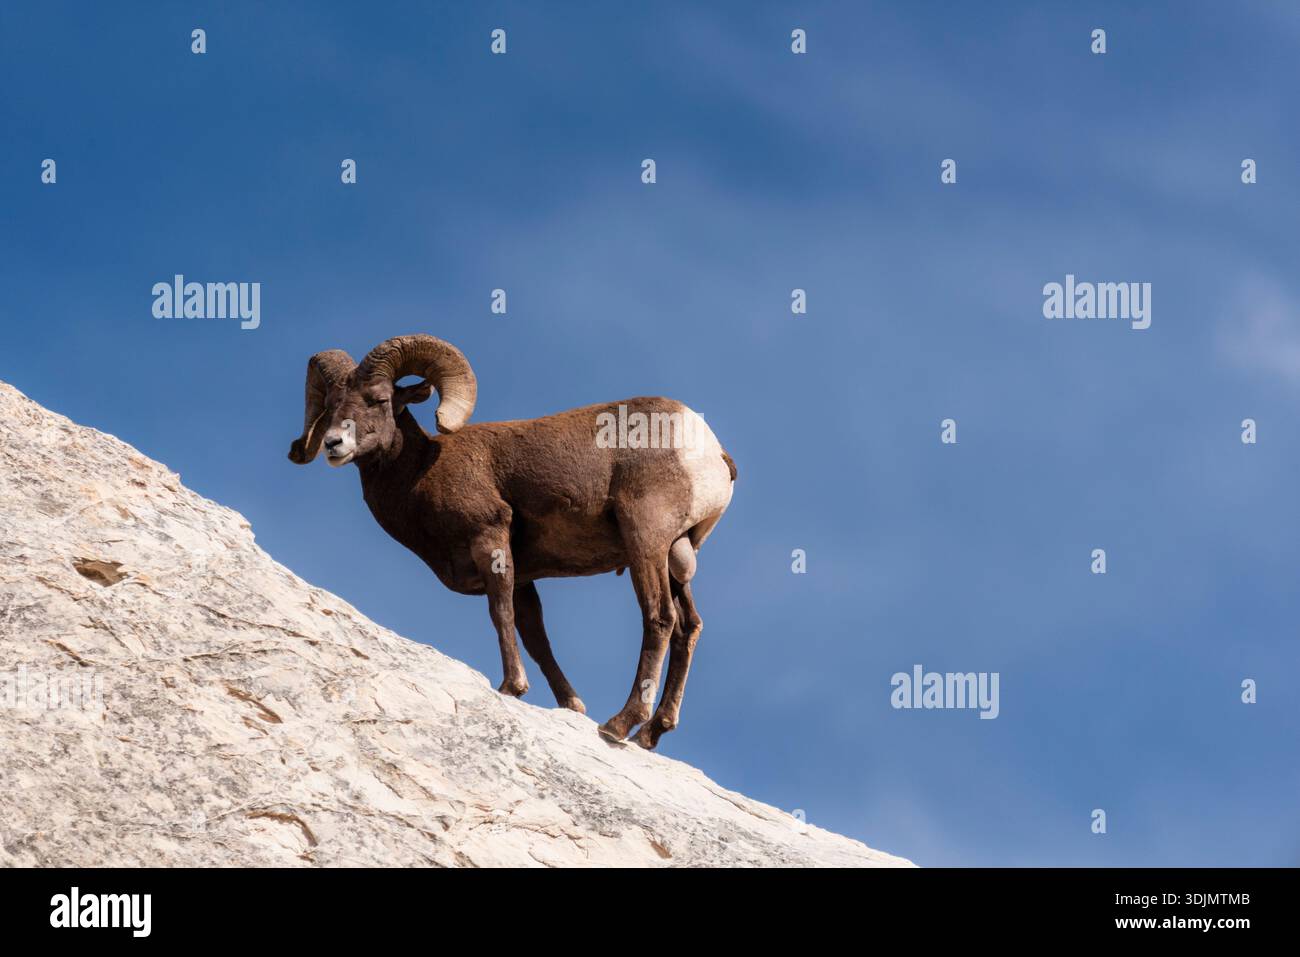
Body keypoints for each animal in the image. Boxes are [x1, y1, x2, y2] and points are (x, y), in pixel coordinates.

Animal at [288, 334, 736, 749]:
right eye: (331, 406)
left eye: (379, 399)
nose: (333, 444)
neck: (421, 470)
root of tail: (711, 451)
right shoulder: (524, 577)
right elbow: (536, 637)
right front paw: (571, 705)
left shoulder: (491, 540)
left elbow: (499, 613)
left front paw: (511, 688)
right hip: (675, 556)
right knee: (688, 627)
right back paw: (651, 733)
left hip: (646, 542)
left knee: (660, 619)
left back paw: (619, 724)